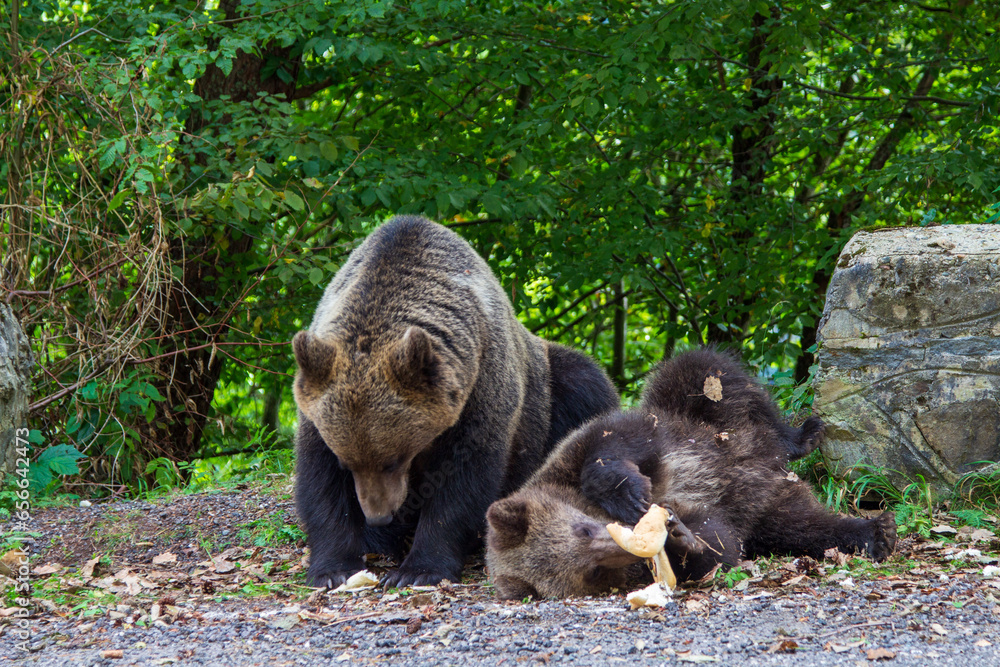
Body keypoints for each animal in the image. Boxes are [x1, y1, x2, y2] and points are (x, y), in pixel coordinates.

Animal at [292, 215, 618, 589]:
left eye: (393, 459)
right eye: (349, 463)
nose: (379, 515)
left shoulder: (480, 386)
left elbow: (463, 480)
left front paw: (420, 569)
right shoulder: (318, 403)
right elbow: (320, 481)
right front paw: (333, 568)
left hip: (554, 385)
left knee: (584, 388)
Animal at [485, 347, 897, 600]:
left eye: (582, 529)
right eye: (593, 573)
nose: (618, 545)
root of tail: (772, 465)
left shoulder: (582, 443)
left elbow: (617, 443)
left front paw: (628, 492)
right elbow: (720, 545)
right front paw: (682, 539)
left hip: (705, 417)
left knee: (708, 371)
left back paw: (802, 435)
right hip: (768, 509)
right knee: (804, 527)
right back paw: (876, 533)